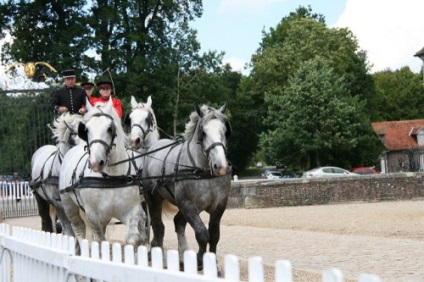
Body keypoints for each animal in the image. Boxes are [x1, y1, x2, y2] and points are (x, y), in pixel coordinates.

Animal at [58, 97, 149, 251]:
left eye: (109, 128)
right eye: (87, 130)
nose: (95, 162)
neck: (111, 177)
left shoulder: (132, 211)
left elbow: (133, 239)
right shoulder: (93, 215)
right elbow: (99, 241)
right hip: (69, 206)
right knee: (79, 229)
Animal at [142, 102, 232, 270]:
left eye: (225, 130)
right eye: (203, 132)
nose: (221, 166)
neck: (203, 172)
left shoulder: (219, 206)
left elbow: (214, 235)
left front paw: (213, 265)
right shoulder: (187, 204)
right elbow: (202, 234)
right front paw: (200, 260)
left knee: (178, 222)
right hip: (154, 199)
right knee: (158, 227)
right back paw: (158, 253)